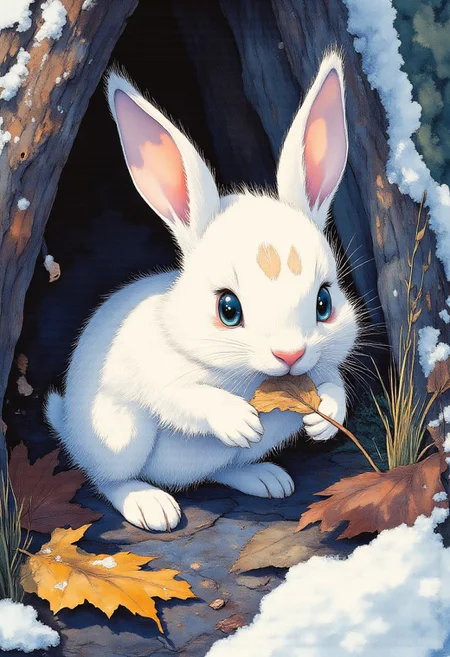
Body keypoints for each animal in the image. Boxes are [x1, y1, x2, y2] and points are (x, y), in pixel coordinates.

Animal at [45, 51, 358, 532]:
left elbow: (334, 384)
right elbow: (188, 398)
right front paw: (240, 421)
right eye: (227, 309)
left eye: (325, 302)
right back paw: (151, 506)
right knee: (106, 477)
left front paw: (323, 420)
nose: (290, 355)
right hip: (118, 437)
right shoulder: (163, 377)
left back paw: (268, 480)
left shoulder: (324, 367)